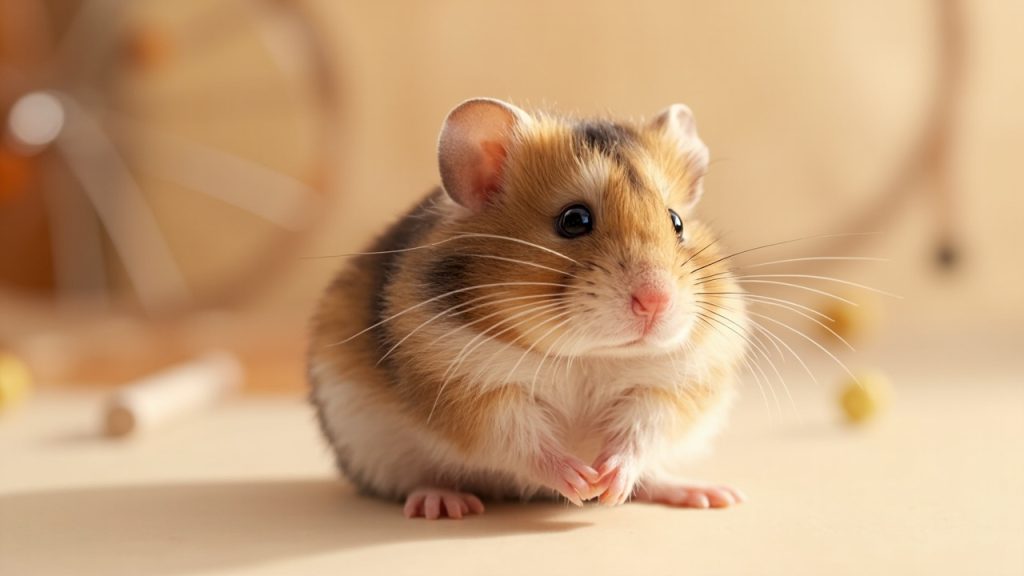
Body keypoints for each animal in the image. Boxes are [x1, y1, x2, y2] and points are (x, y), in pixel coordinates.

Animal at [308, 98, 749, 519]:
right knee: (416, 480)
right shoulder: (474, 392)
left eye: (676, 222)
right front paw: (581, 482)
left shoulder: (670, 387)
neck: (588, 357)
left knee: (654, 473)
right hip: (372, 447)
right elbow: (522, 440)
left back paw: (709, 495)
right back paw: (444, 504)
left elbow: (641, 435)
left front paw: (606, 484)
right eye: (574, 220)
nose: (657, 300)